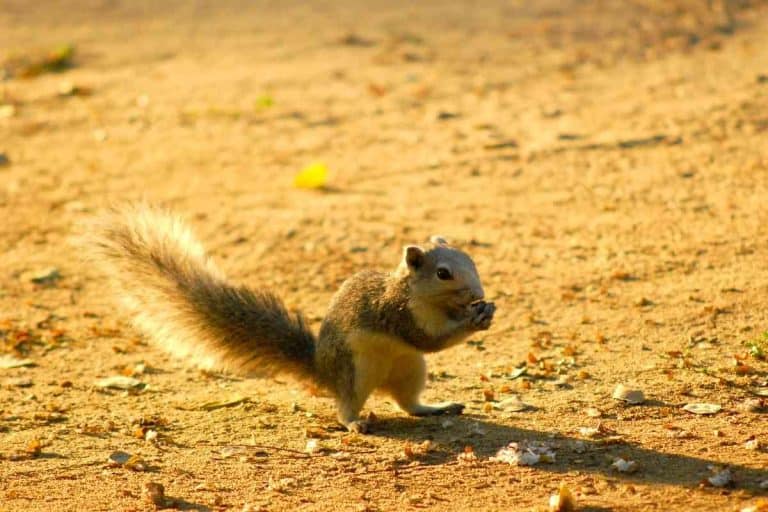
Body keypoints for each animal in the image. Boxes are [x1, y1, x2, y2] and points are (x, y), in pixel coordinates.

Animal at [84, 203, 496, 432]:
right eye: (443, 273)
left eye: (471, 260)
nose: (478, 294)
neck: (420, 296)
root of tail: (323, 372)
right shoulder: (396, 313)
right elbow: (430, 339)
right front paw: (472, 320)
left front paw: (483, 310)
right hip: (355, 371)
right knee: (347, 405)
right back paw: (355, 423)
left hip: (409, 368)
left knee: (408, 403)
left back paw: (436, 407)